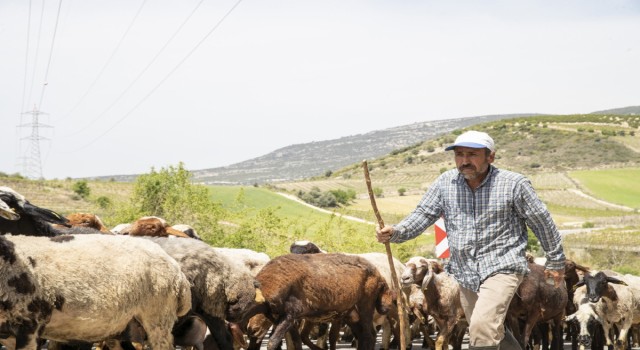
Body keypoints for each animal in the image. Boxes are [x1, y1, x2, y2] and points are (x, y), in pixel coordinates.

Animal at [251, 253, 392, 350]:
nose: (252, 331)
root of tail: (380, 276)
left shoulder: (291, 315)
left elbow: (273, 342)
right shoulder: (294, 318)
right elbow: (298, 340)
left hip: (365, 306)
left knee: (369, 335)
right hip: (352, 314)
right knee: (363, 335)